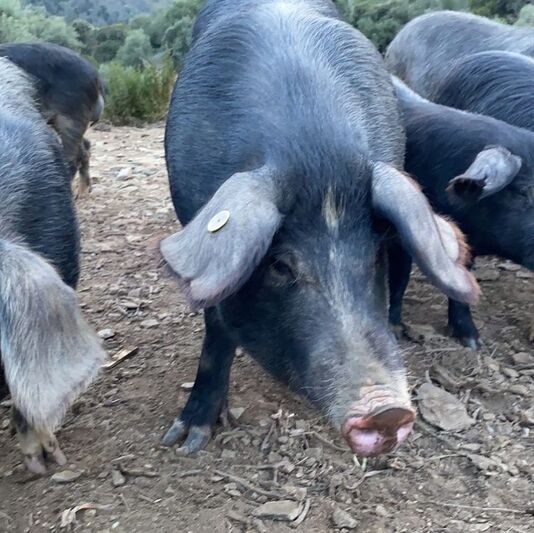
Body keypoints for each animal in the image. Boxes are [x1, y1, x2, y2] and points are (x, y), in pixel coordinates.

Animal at [0, 41, 105, 195]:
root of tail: (96, 76)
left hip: (72, 116)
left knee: (72, 158)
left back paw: (76, 195)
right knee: (85, 148)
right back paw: (83, 192)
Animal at [161, 0, 480, 458]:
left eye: (376, 253)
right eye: (279, 265)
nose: (387, 412)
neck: (316, 153)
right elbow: (217, 330)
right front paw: (185, 442)